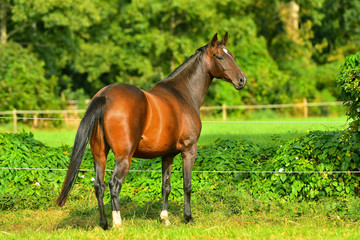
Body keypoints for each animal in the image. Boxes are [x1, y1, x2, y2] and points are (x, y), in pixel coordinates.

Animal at [56, 31, 248, 229]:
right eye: (220, 56)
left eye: (232, 55)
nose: (242, 80)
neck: (183, 95)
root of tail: (104, 96)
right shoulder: (189, 150)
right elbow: (187, 185)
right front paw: (188, 218)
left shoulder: (168, 154)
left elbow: (166, 186)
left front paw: (165, 218)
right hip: (124, 157)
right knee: (114, 184)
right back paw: (118, 223)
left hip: (99, 154)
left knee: (99, 186)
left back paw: (104, 224)